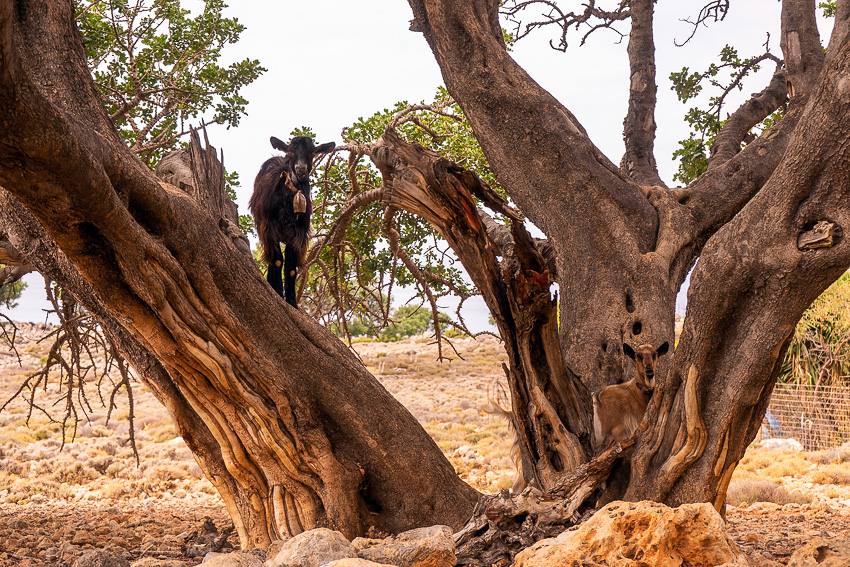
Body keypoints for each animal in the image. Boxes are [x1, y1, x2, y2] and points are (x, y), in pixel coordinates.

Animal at [248, 136, 334, 308]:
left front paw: (292, 302)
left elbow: (291, 268)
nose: (301, 169)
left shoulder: (297, 234)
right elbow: (277, 260)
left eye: (313, 152)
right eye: (290, 152)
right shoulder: (269, 228)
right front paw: (279, 293)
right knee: (271, 257)